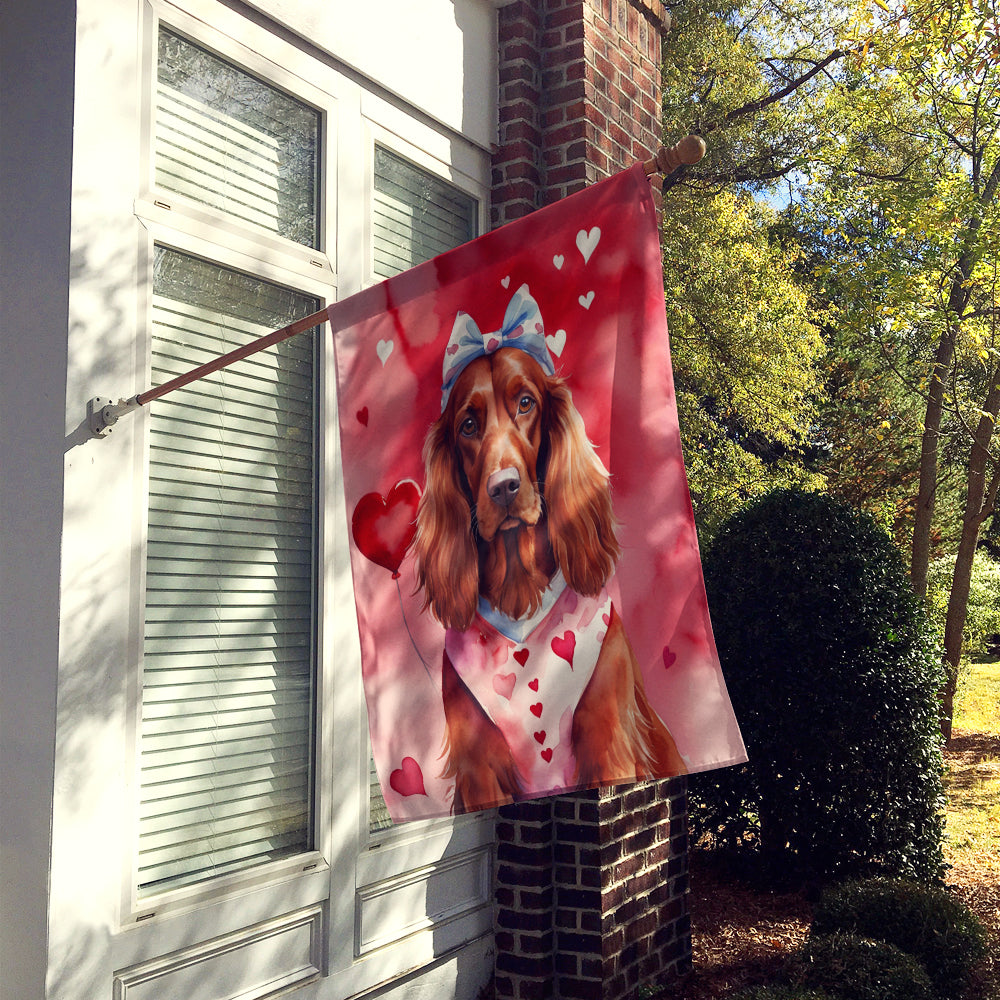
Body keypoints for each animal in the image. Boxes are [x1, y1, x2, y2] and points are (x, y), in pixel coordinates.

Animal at [414, 346, 688, 812]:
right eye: (467, 425)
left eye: (526, 403)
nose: (503, 487)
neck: (520, 599)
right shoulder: (479, 766)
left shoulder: (607, 742)